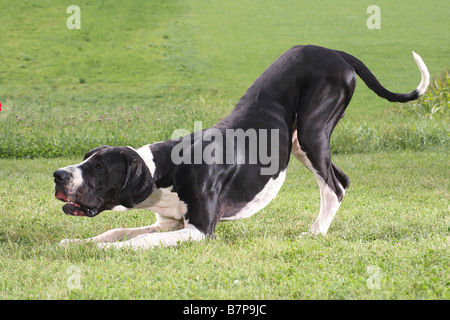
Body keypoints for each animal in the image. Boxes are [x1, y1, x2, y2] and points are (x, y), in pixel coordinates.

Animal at [53, 45, 428, 250]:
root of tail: (334, 52)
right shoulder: (168, 224)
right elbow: (115, 230)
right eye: (86, 158)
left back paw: (315, 232)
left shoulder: (199, 231)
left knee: (333, 187)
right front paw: (79, 243)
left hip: (312, 132)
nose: (57, 175)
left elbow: (136, 241)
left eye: (99, 167)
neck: (165, 169)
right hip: (299, 141)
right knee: (342, 180)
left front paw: (109, 252)